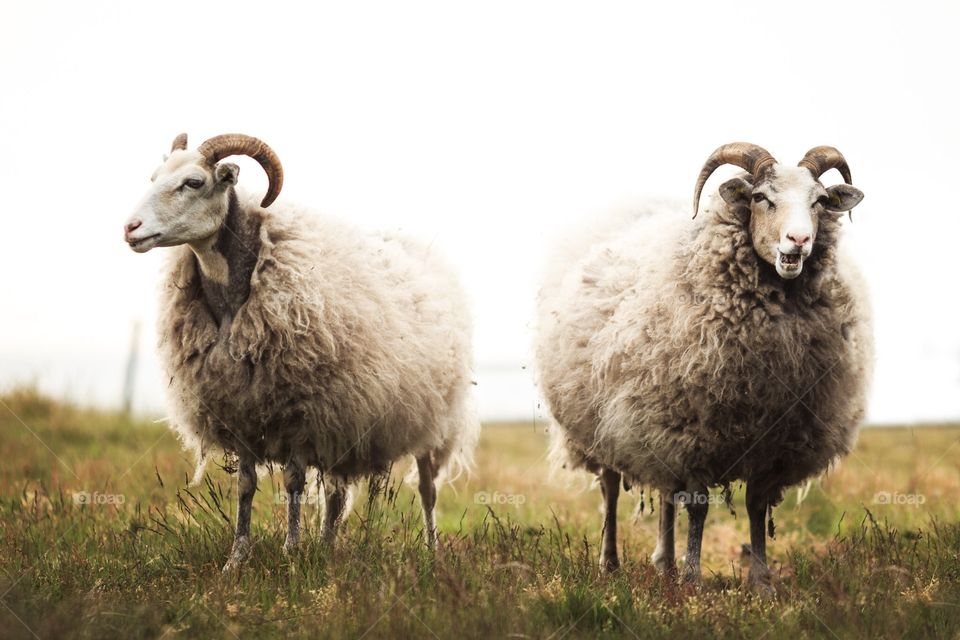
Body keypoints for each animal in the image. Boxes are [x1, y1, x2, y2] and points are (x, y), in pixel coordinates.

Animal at [124, 133, 478, 571]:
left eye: (194, 182)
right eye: (154, 177)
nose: (131, 228)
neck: (236, 294)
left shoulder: (299, 412)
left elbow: (293, 482)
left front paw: (291, 552)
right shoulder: (240, 410)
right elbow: (245, 486)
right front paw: (237, 558)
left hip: (433, 420)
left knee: (428, 490)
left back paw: (431, 551)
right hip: (345, 421)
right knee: (336, 494)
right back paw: (327, 546)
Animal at [535, 143, 872, 591]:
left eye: (818, 201)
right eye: (760, 197)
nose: (798, 241)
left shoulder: (773, 441)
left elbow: (755, 506)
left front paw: (760, 581)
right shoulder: (692, 429)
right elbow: (696, 506)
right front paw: (693, 578)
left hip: (650, 425)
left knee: (664, 493)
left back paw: (665, 563)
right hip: (602, 426)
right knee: (610, 487)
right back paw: (611, 563)